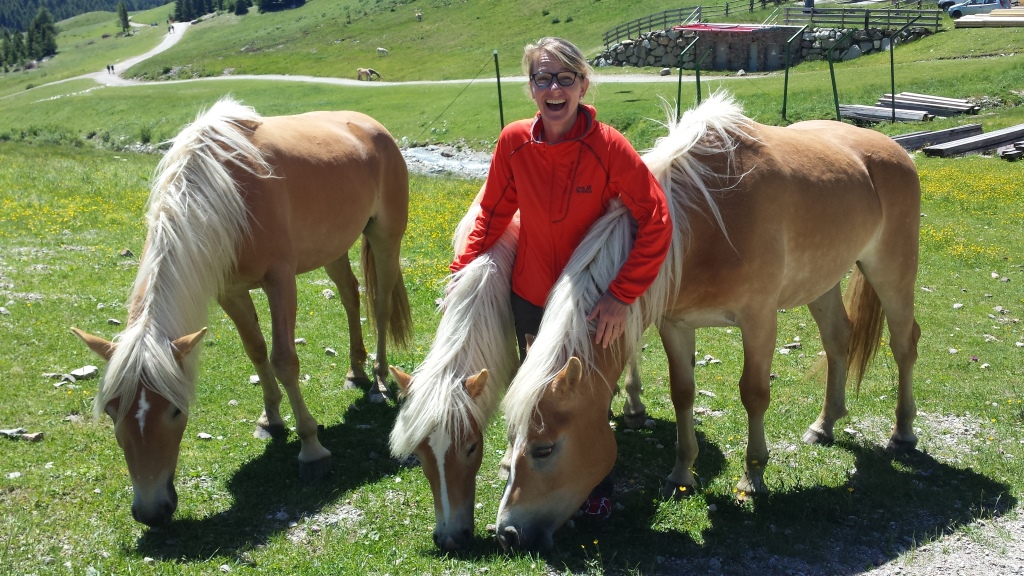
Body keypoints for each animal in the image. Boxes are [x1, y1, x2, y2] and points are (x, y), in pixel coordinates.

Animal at [71, 97, 413, 527]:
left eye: (176, 410)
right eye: (113, 410)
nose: (151, 511)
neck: (226, 192)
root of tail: (372, 126)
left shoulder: (280, 280)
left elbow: (284, 360)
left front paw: (312, 449)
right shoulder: (229, 292)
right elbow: (256, 351)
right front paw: (271, 419)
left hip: (385, 236)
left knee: (379, 304)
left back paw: (380, 379)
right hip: (333, 246)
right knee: (350, 295)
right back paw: (356, 371)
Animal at [494, 92, 921, 551]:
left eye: (544, 448)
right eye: (511, 443)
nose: (508, 534)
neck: (701, 226)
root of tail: (893, 149)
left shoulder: (758, 320)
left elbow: (754, 394)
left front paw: (753, 477)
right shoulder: (676, 325)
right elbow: (682, 394)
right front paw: (682, 475)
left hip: (891, 271)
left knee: (904, 345)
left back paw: (902, 433)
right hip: (821, 283)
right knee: (838, 339)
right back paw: (824, 425)